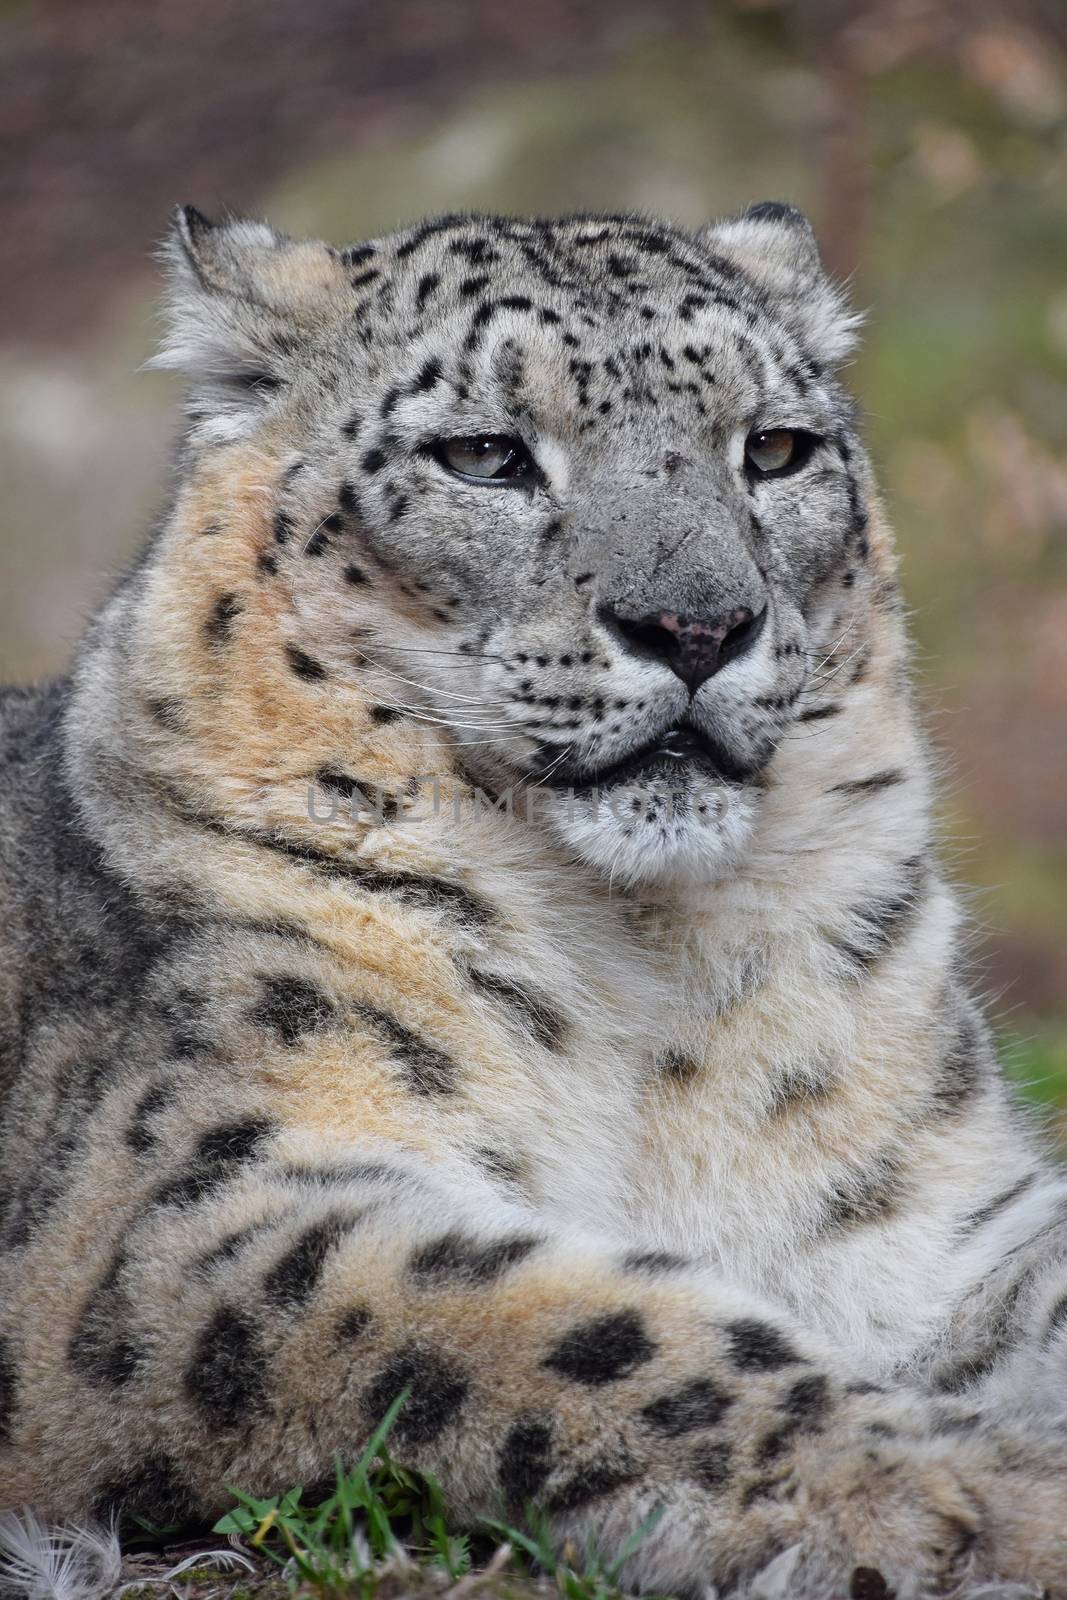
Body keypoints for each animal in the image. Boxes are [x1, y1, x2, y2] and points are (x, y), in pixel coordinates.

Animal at [2, 206, 1067, 1593]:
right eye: (484, 455)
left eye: (774, 447)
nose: (696, 624)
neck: (656, 976)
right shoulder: (178, 1223)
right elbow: (562, 1325)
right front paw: (966, 1492)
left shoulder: (936, 1216)